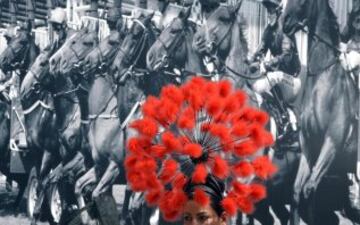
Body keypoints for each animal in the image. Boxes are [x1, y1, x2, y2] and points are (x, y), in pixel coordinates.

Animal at [284, 0, 358, 225]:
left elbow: (309, 190)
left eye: (304, 1)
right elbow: (297, 191)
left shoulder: (331, 144)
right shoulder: (309, 144)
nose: (285, 22)